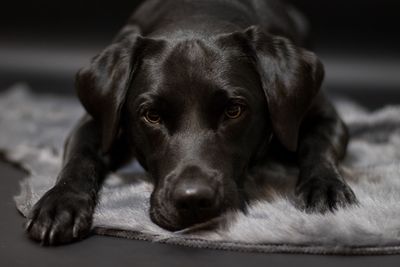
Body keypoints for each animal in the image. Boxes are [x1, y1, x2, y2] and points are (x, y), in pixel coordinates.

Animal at [25, 0, 356, 246]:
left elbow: (317, 146)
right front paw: (60, 203)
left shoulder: (326, 116)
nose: (194, 200)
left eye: (234, 110)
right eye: (152, 115)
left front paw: (325, 188)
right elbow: (80, 156)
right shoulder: (94, 123)